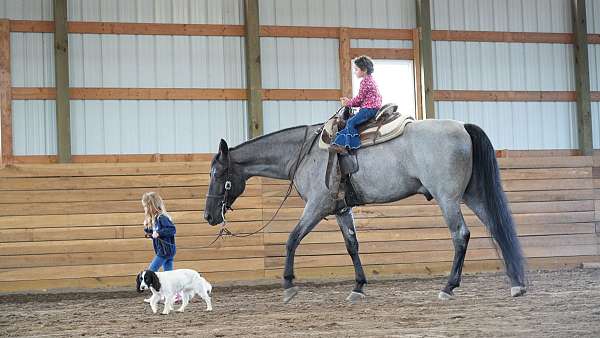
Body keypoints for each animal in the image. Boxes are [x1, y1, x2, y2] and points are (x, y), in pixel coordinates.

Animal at [205, 120, 524, 302]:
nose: (208, 216)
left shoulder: (317, 205)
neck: (304, 153)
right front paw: (358, 286)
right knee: (497, 228)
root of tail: (462, 127)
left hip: (448, 198)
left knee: (460, 235)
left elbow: (292, 239)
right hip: (473, 195)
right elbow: (352, 245)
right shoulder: (341, 209)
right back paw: (516, 283)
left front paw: (288, 285)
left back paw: (448, 287)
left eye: (218, 174)